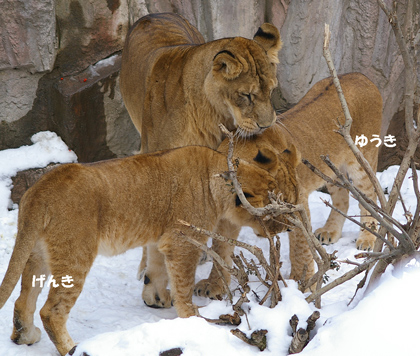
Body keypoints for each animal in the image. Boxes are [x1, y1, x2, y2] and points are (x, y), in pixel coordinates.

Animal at [0, 145, 298, 356]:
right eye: (274, 207)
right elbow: (183, 284)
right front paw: (193, 320)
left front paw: (156, 299)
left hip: (37, 252)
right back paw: (72, 349)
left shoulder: (159, 238)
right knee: (51, 311)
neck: (214, 178)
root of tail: (39, 191)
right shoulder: (183, 240)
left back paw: (24, 336)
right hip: (75, 255)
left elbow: (156, 270)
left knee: (23, 299)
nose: (287, 227)